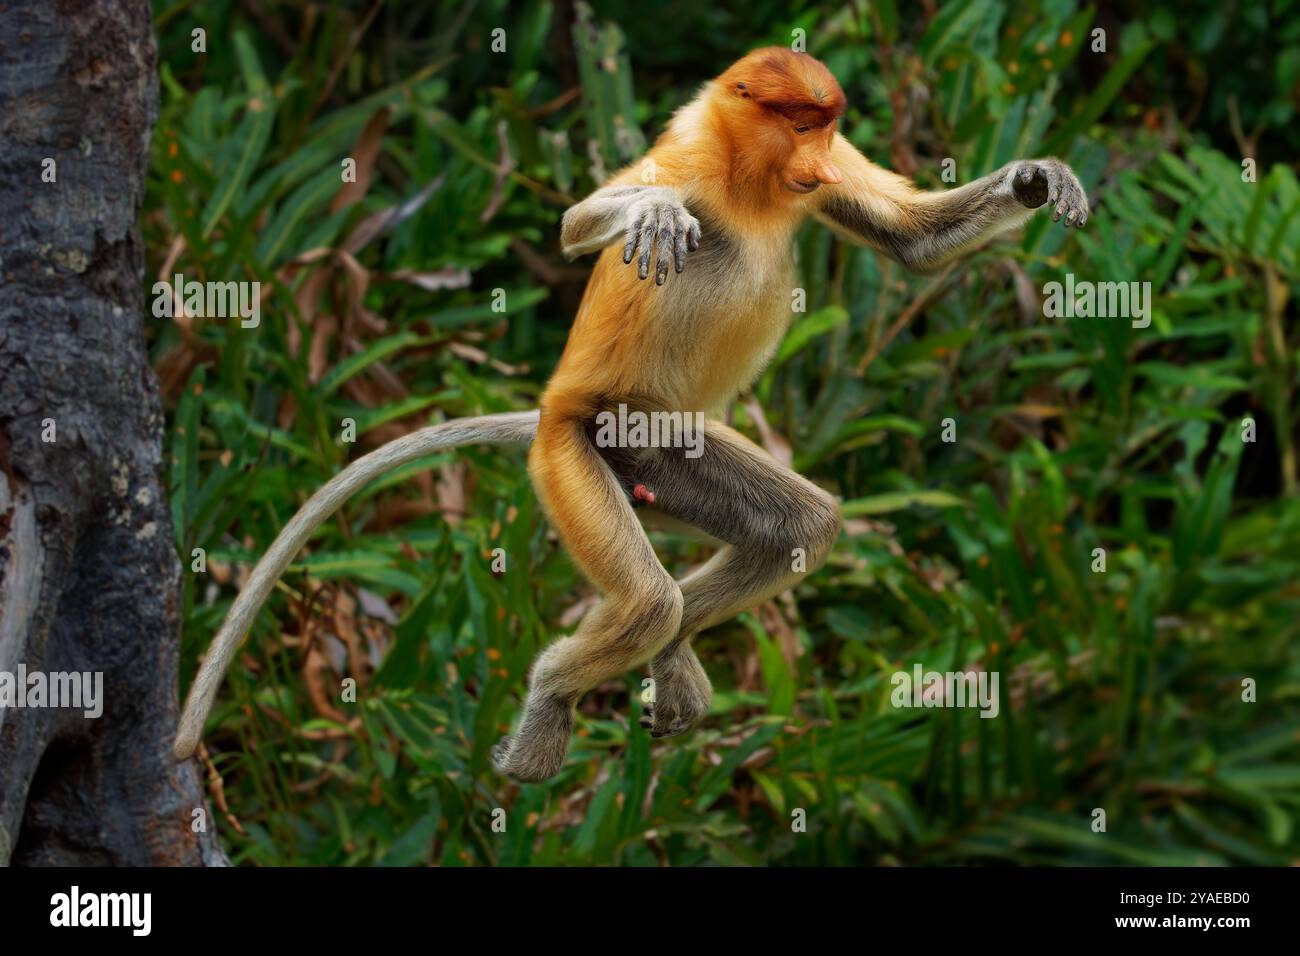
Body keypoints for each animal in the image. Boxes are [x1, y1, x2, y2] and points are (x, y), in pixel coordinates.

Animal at [173, 47, 1089, 783]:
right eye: (799, 123)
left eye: (827, 130)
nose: (822, 168)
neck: (747, 174)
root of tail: (552, 414)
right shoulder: (684, 157)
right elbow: (585, 219)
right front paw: (645, 216)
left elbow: (911, 241)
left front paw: (1037, 179)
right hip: (574, 455)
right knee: (646, 597)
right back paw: (557, 694)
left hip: (665, 449)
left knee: (800, 528)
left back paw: (678, 650)